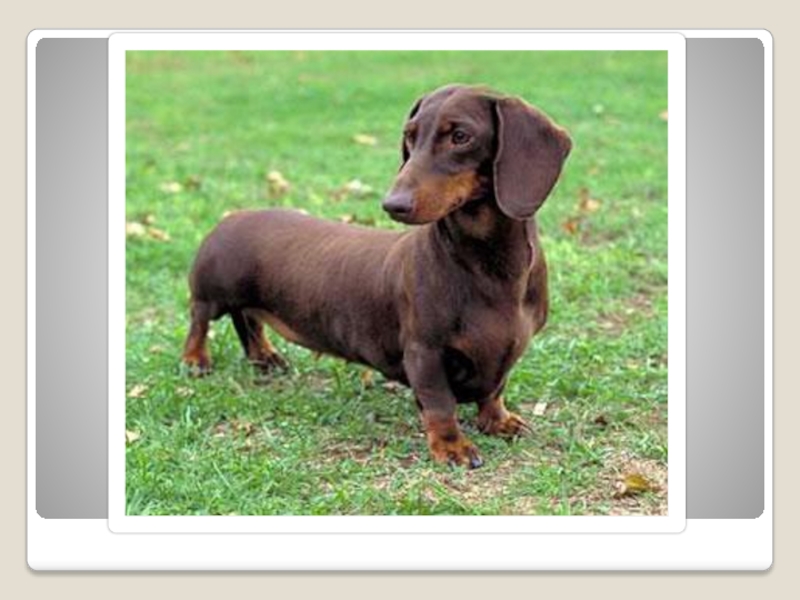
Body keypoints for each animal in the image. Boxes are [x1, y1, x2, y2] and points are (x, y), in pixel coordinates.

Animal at [182, 84, 572, 468]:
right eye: (410, 136)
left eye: (460, 136)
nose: (392, 204)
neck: (488, 268)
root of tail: (231, 216)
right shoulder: (424, 351)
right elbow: (439, 402)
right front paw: (451, 447)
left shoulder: (510, 348)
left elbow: (495, 389)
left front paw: (498, 420)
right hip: (212, 291)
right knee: (200, 320)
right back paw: (195, 360)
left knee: (247, 320)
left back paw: (265, 356)